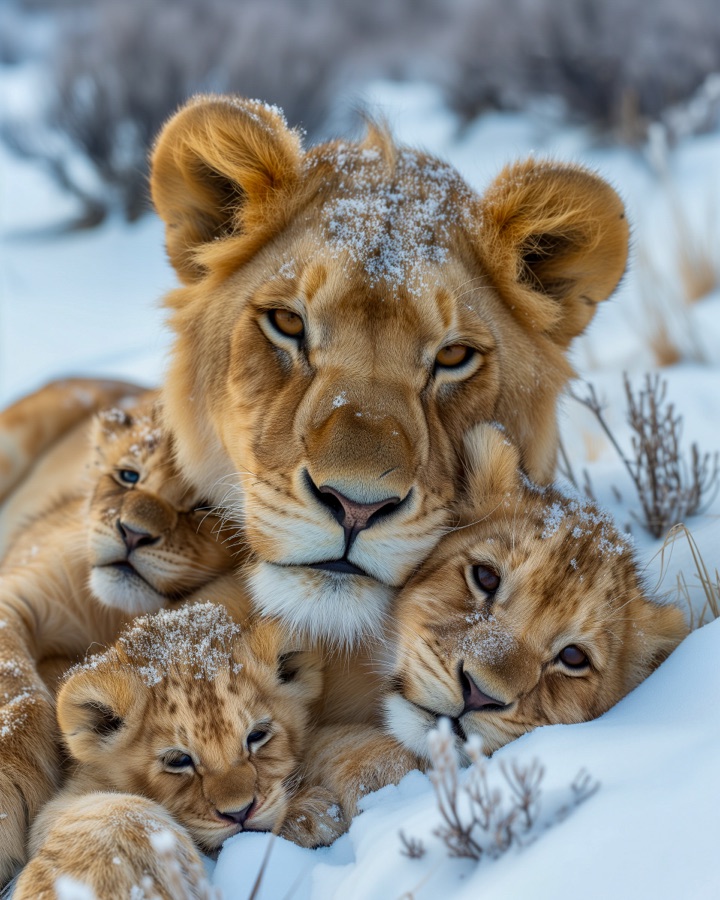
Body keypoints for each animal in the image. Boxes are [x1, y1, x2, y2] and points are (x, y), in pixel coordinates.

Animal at [0, 392, 239, 884]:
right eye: (128, 476)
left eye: (204, 507)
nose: (131, 532)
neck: (111, 613)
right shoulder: (15, 594)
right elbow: (19, 692)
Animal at [14, 604, 412, 898]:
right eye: (178, 760)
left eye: (257, 736)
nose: (239, 813)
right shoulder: (65, 797)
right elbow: (108, 814)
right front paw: (125, 876)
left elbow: (334, 742)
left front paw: (385, 788)